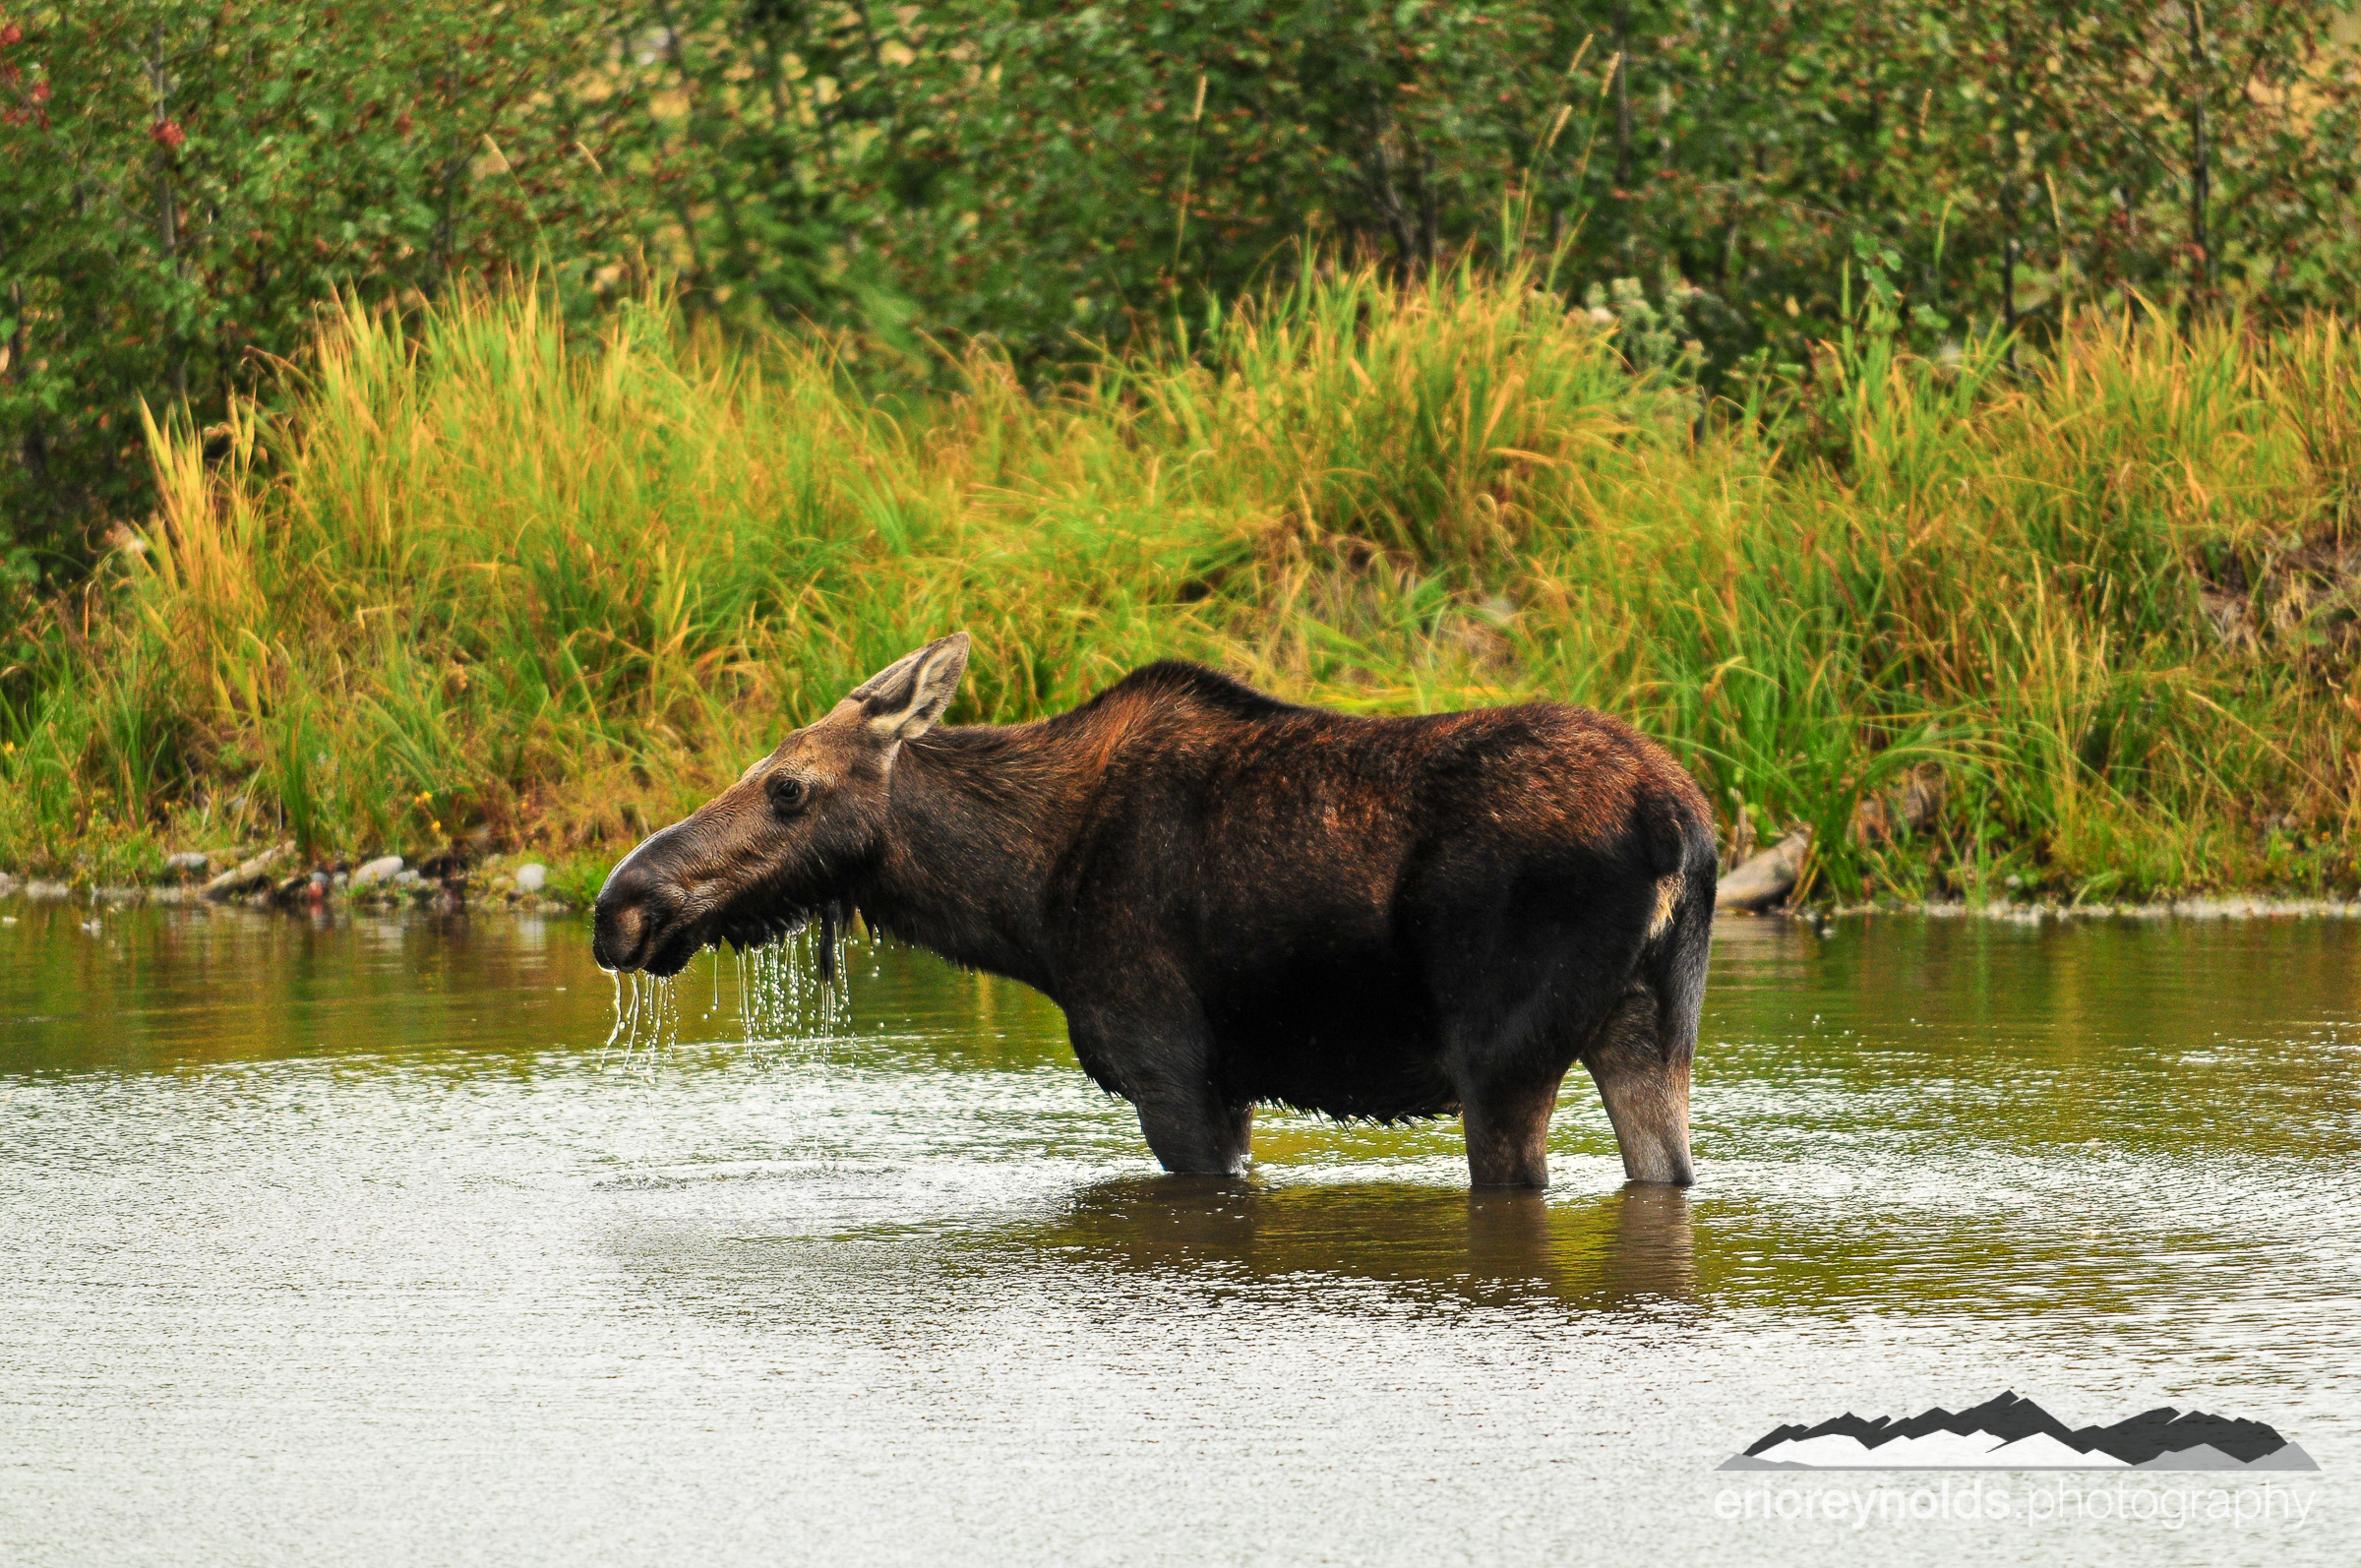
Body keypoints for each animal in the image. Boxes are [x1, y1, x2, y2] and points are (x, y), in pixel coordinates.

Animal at [590, 633, 1719, 1180]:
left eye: (787, 789)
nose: (621, 907)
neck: (1017, 905)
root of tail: (1676, 824)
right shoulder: (1233, 1085)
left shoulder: (1169, 1069)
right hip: (1651, 1028)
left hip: (1502, 1057)